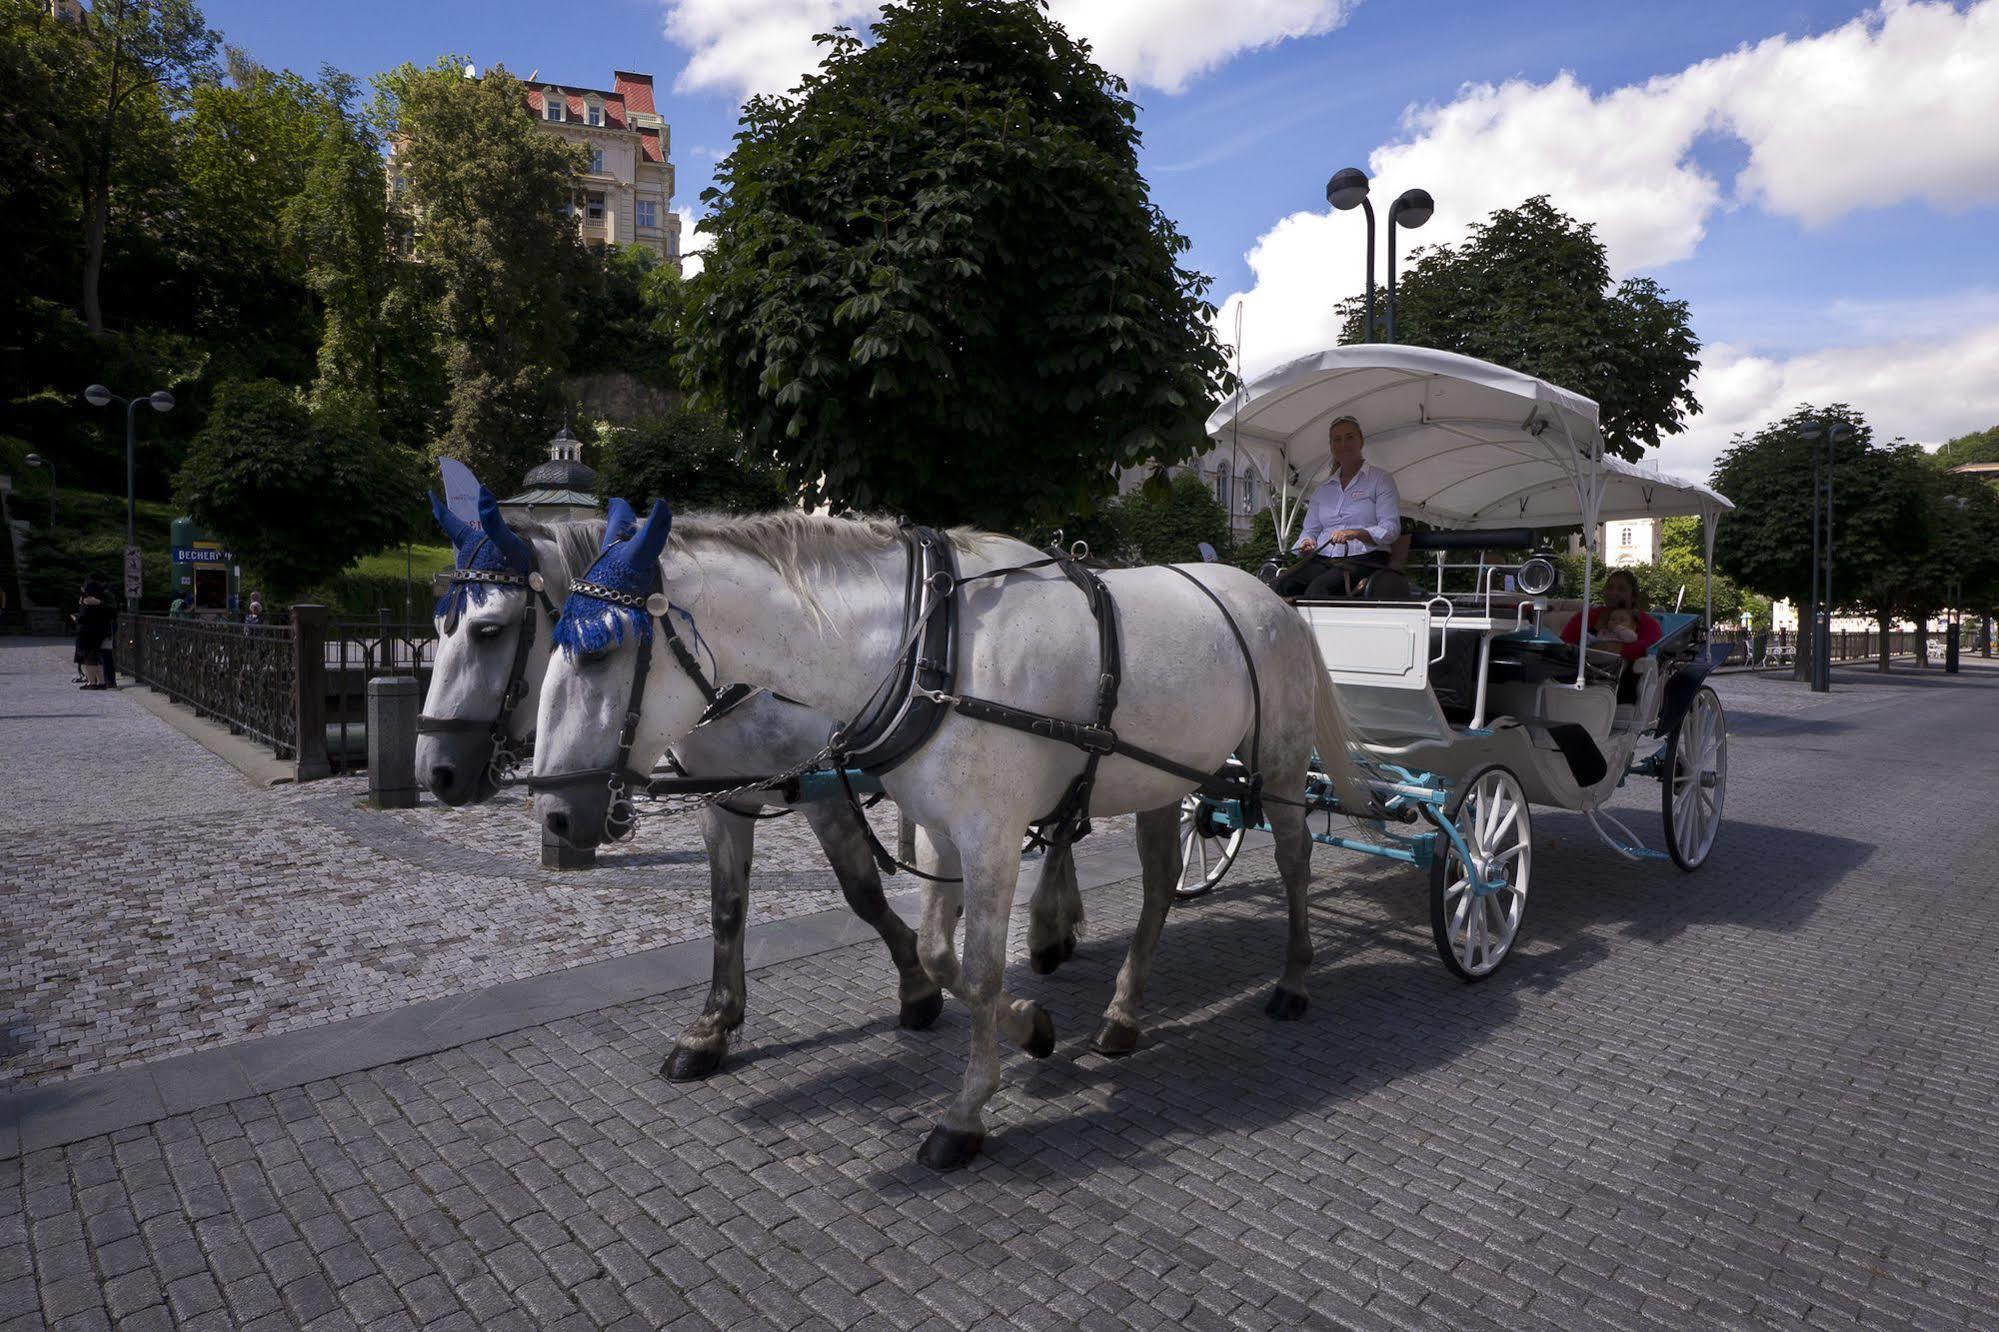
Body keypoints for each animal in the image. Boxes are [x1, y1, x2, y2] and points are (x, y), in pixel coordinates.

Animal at [413, 492, 1079, 1072]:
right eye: (440, 627)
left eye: (489, 631)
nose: (436, 772)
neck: (750, 677)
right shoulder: (723, 801)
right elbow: (727, 907)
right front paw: (713, 1025)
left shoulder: (826, 797)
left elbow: (862, 892)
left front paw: (917, 987)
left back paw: (1050, 928)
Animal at [535, 498, 1375, 1160]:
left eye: (600, 650)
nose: (554, 816)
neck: (929, 647)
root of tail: (1266, 594)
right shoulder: (938, 831)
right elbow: (940, 957)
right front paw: (1031, 1028)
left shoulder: (990, 837)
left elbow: (977, 967)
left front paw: (966, 1112)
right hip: (1164, 776)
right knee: (1161, 882)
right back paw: (1122, 1015)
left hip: (1279, 763)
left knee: (1295, 858)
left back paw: (1292, 982)